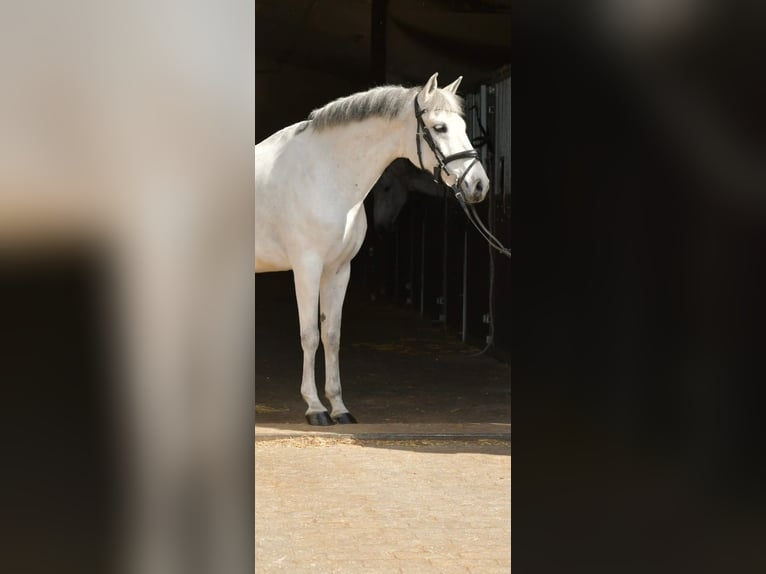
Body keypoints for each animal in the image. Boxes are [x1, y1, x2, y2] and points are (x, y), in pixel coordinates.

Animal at [254, 73, 490, 426]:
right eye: (439, 128)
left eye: (463, 125)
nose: (479, 185)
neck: (324, 174)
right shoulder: (306, 268)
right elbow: (310, 335)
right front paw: (315, 408)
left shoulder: (339, 270)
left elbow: (331, 335)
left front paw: (339, 407)